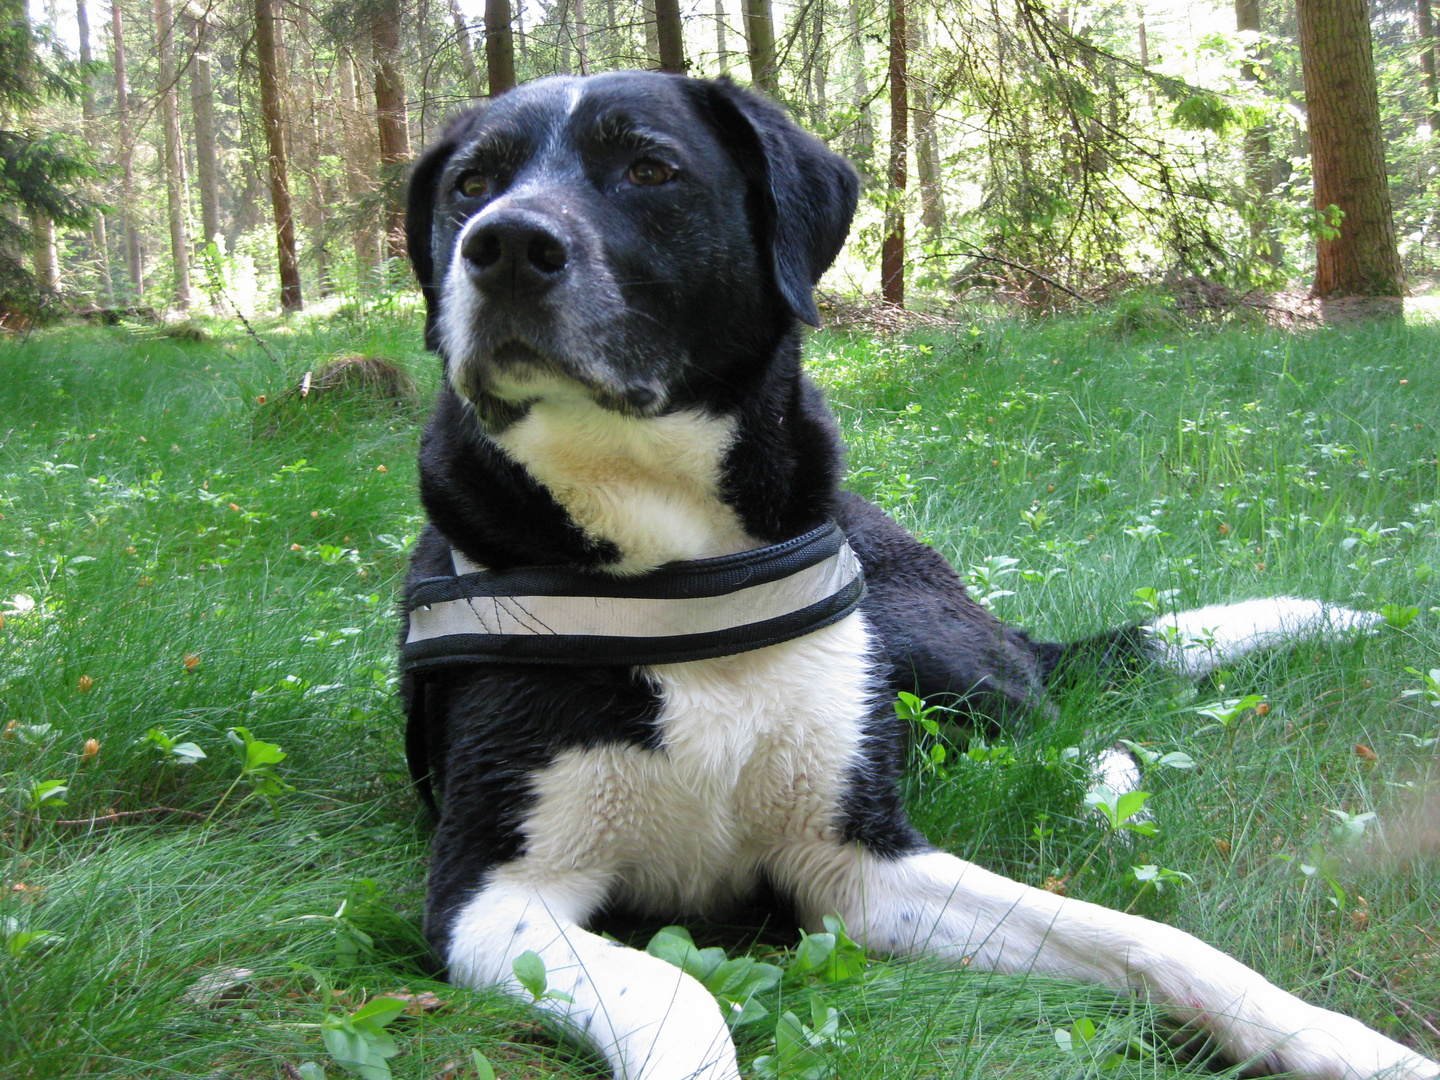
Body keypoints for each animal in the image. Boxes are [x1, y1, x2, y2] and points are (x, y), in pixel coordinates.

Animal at [397, 72, 1440, 1077]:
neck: (678, 570)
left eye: (650, 170)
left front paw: (1336, 1039)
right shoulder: (493, 895)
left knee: (1059, 722)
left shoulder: (856, 858)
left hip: (925, 653)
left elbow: (1147, 938)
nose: (503, 246)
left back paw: (1106, 799)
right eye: (470, 186)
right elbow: (680, 995)